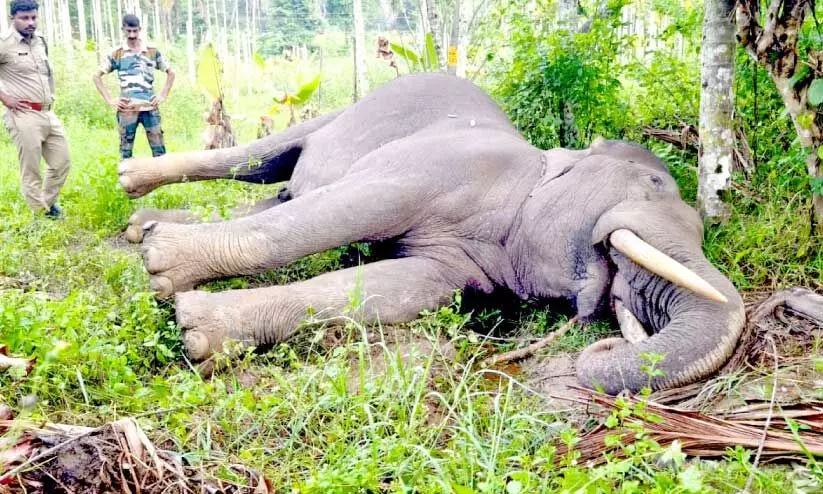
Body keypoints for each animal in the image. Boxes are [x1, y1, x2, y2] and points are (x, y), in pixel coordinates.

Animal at [118, 73, 745, 395]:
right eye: (653, 183)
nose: (609, 341)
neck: (534, 175)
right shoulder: (437, 168)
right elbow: (348, 211)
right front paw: (162, 271)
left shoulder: (467, 266)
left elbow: (405, 289)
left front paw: (198, 332)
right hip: (346, 110)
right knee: (263, 162)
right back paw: (133, 189)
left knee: (279, 190)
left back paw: (140, 225)